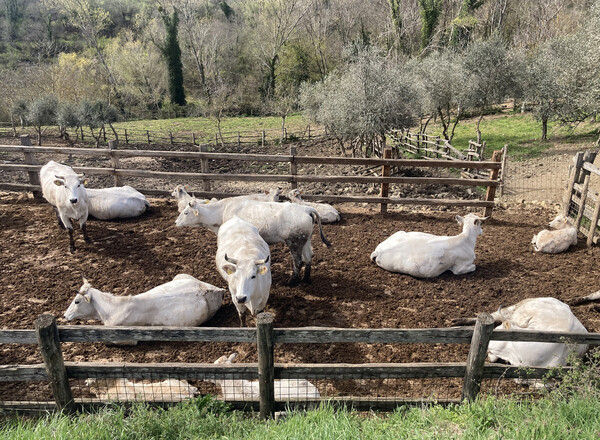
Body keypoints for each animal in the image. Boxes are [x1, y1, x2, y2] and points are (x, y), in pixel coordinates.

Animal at [176, 198, 330, 284]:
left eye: (185, 212)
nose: (176, 222)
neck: (221, 211)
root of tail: (306, 209)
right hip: (306, 240)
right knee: (308, 258)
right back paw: (306, 279)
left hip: (294, 242)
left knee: (298, 262)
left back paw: (291, 282)